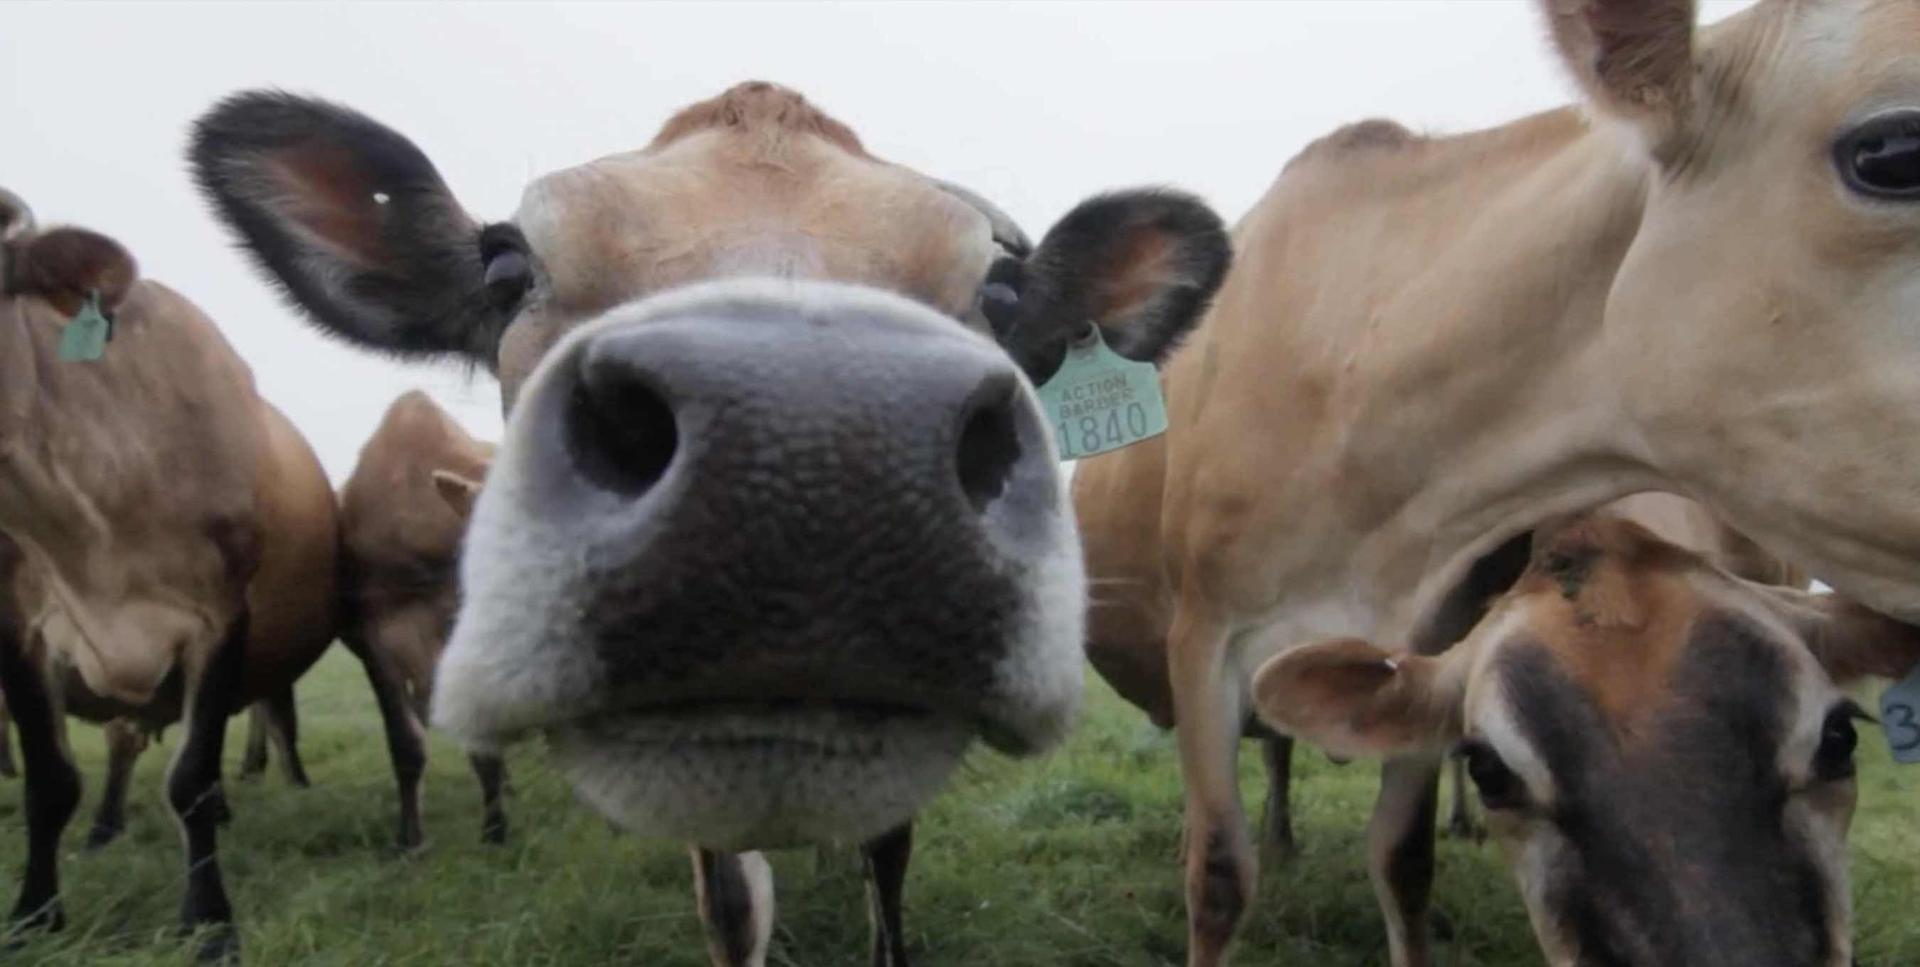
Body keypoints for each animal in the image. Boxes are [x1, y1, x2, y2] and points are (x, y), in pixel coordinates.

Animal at [0, 188, 337, 959]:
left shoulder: (221, 619)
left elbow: (193, 778)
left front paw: (209, 923)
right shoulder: (20, 626)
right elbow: (48, 781)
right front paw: (35, 914)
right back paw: (104, 828)